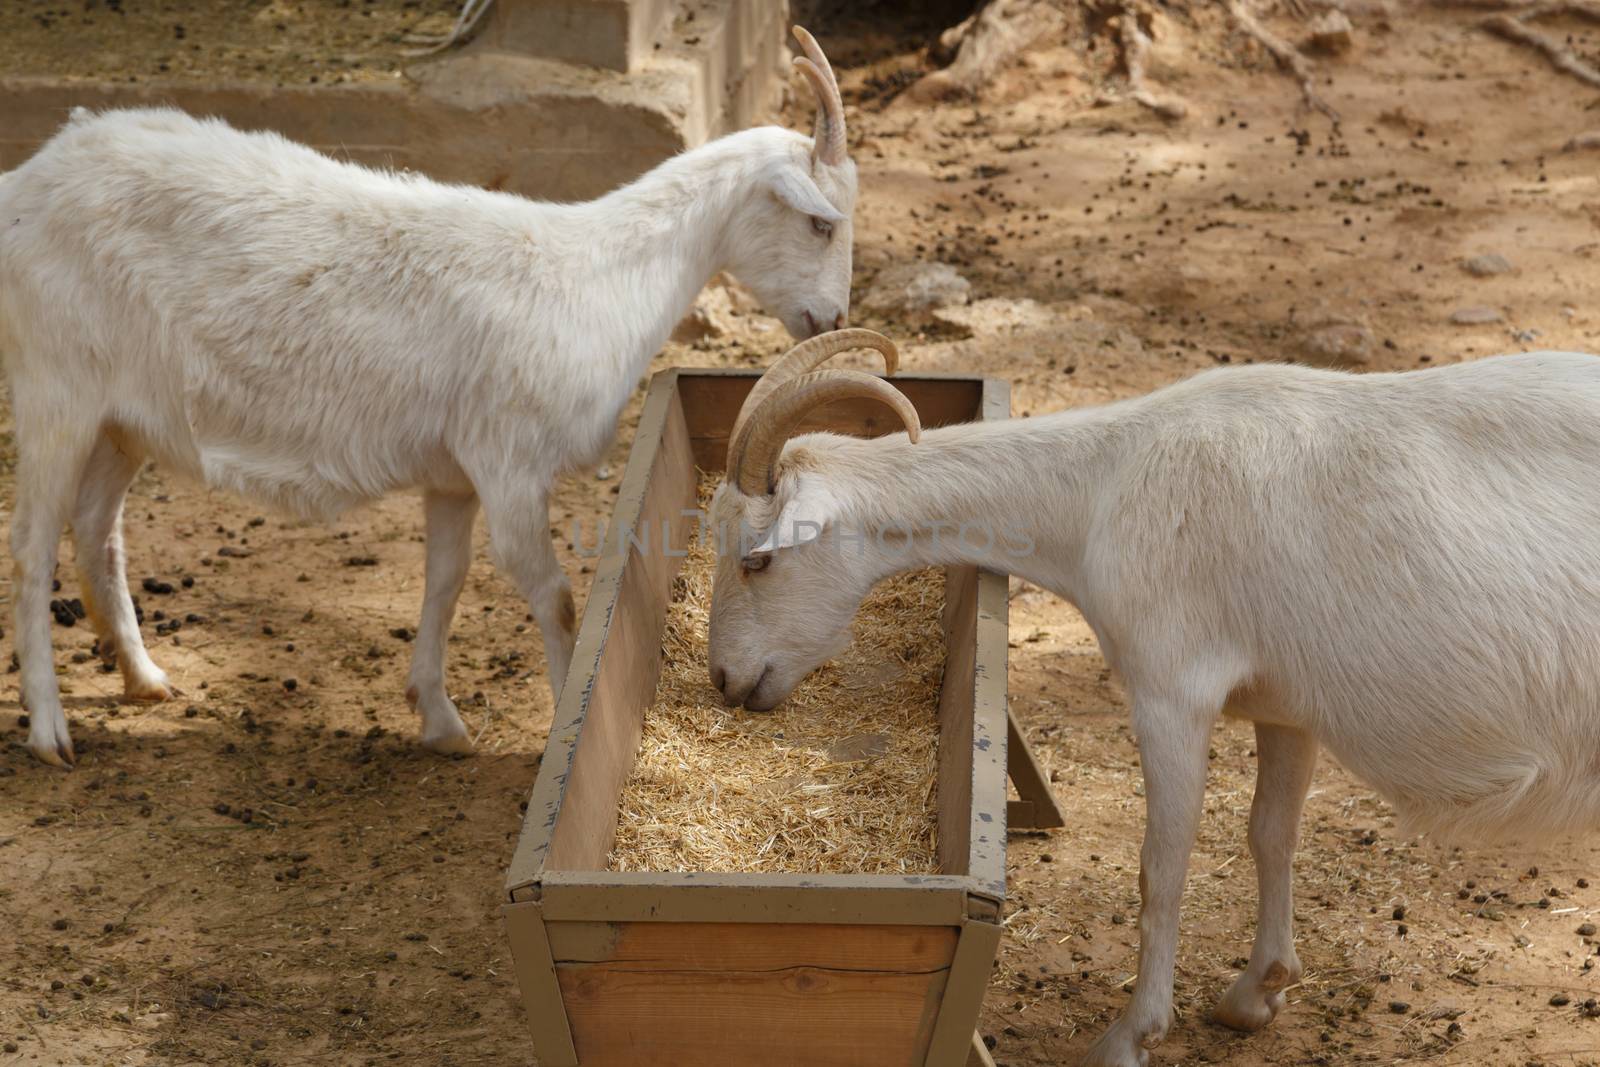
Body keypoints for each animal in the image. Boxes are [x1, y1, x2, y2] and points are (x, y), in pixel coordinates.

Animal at [0, 29, 864, 767]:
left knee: (98, 531)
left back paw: (142, 676)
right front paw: (560, 720)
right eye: (821, 223)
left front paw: (439, 719)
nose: (832, 318)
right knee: (32, 546)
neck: (595, 276)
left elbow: (445, 583)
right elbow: (554, 597)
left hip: (122, 420)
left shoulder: (454, 474)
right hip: (54, 391)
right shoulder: (508, 461)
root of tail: (28, 178)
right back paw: (49, 730)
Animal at [707, 329, 1600, 1062]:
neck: (1102, 487)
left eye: (757, 558)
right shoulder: (1285, 702)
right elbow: (1271, 833)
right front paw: (1255, 992)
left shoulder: (1170, 686)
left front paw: (1128, 1036)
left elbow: (1160, 867)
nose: (725, 680)